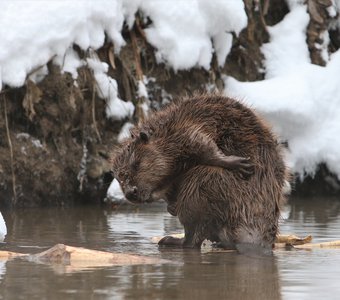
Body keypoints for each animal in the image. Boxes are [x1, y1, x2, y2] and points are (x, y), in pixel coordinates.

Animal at [111, 95, 290, 254]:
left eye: (136, 164)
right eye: (118, 178)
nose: (130, 193)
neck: (164, 130)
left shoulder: (185, 130)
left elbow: (204, 146)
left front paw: (239, 163)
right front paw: (171, 206)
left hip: (203, 186)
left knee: (192, 239)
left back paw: (168, 240)